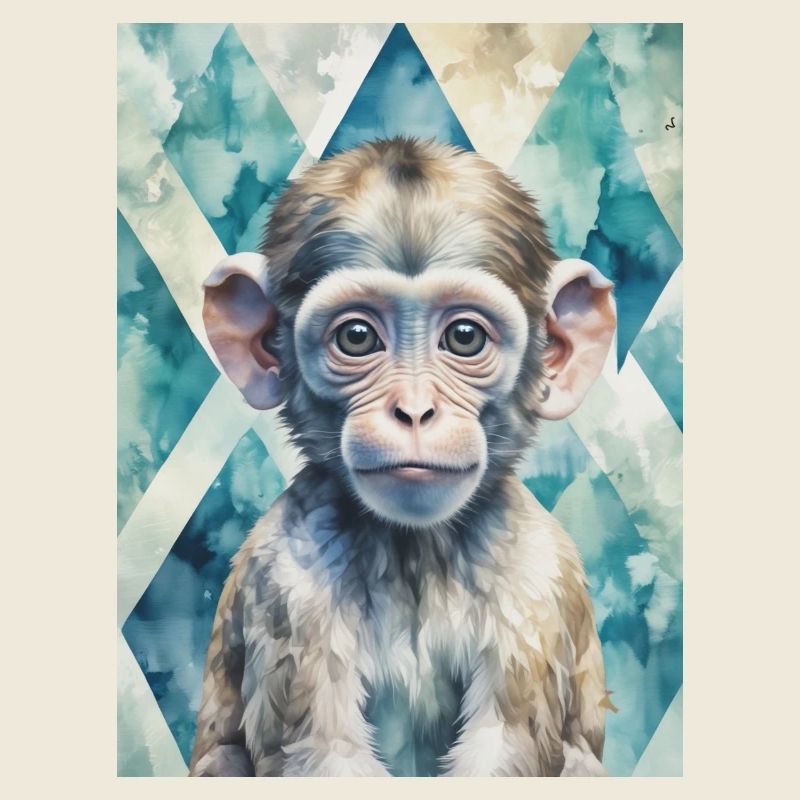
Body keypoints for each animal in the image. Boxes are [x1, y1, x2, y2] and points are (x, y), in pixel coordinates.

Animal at [189, 137, 617, 777]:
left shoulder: (537, 577)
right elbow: (320, 754)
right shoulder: (287, 578)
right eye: (357, 337)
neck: (415, 549)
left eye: (464, 337)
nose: (414, 411)